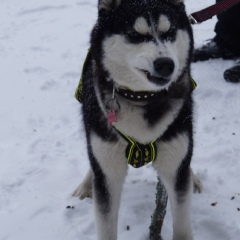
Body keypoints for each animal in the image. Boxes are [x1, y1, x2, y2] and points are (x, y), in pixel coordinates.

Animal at [73, 0, 201, 240]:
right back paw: (86, 184)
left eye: (169, 32)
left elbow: (182, 222)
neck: (143, 99)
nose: (166, 64)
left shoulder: (175, 166)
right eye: (134, 34)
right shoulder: (108, 174)